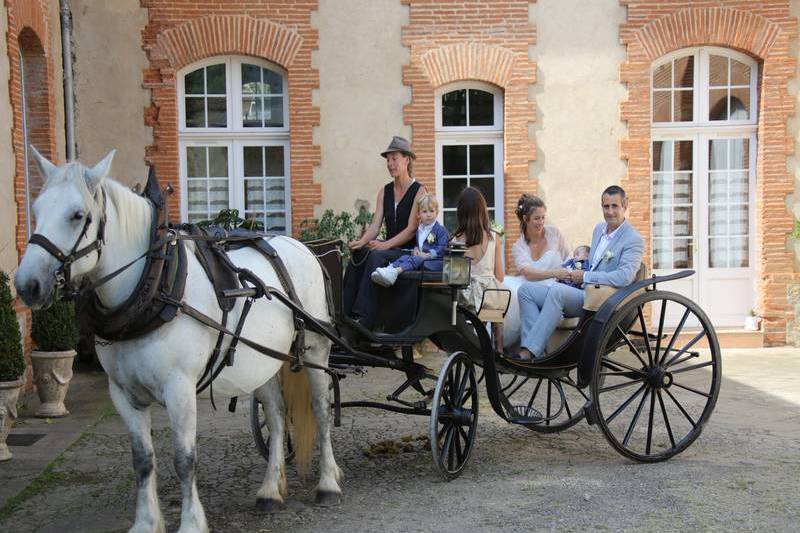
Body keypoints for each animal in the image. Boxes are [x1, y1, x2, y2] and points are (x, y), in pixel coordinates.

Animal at [15, 150, 340, 532]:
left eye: (79, 215)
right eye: (36, 210)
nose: (27, 285)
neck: (154, 284)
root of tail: (299, 246)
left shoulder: (179, 389)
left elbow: (185, 459)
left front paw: (191, 522)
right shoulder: (123, 393)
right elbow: (142, 459)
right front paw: (146, 522)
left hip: (315, 350)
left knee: (320, 411)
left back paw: (328, 483)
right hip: (264, 361)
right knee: (275, 416)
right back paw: (270, 490)